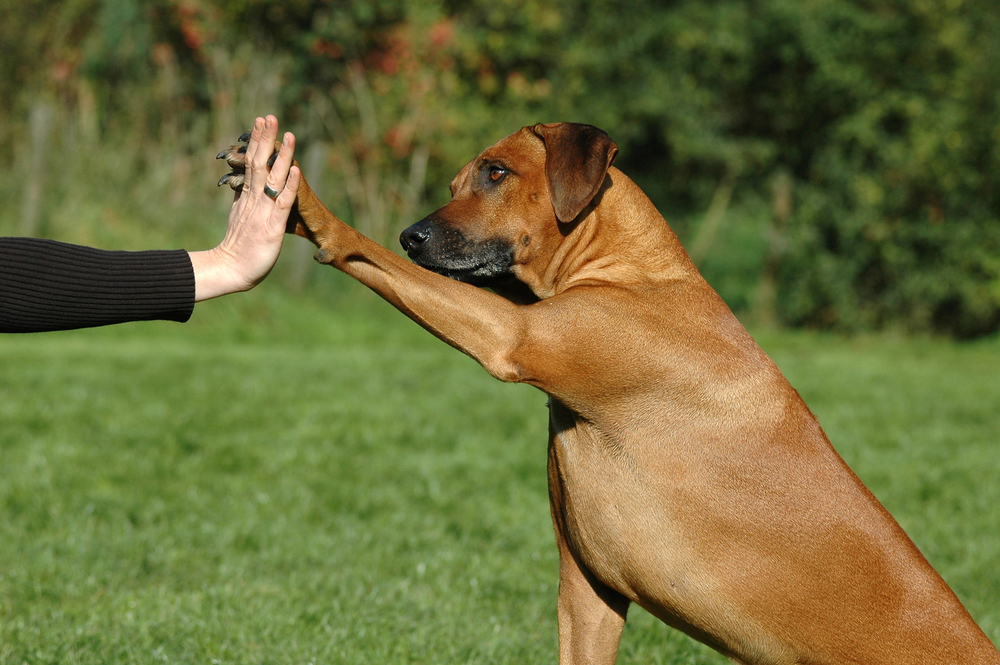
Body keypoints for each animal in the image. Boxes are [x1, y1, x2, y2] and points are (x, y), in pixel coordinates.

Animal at [219, 122, 1000, 660]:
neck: (632, 271)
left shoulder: (512, 336)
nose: (413, 235)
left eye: (496, 173)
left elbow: (370, 255)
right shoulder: (589, 590)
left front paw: (306, 207)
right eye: (453, 184)